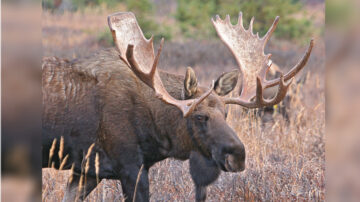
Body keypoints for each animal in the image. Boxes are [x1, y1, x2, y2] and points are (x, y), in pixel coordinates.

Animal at [41, 11, 312, 201]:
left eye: (226, 114)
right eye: (199, 117)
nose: (238, 155)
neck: (157, 132)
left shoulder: (86, 171)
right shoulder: (130, 167)